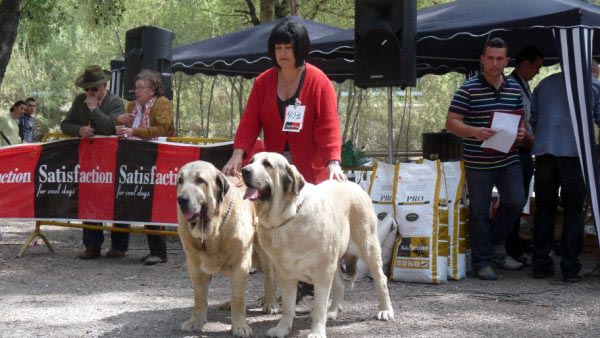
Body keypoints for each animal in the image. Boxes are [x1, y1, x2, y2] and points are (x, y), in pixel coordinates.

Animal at [176, 160, 278, 336]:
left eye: (200, 180)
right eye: (180, 181)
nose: (181, 199)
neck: (213, 230)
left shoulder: (240, 263)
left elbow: (239, 298)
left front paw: (240, 326)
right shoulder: (195, 266)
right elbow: (199, 297)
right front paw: (196, 321)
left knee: (269, 275)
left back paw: (270, 302)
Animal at [241, 153, 396, 338]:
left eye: (267, 164)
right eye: (251, 161)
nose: (244, 170)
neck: (288, 218)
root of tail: (354, 185)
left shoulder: (322, 273)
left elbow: (319, 308)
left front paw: (316, 332)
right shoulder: (286, 274)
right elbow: (288, 306)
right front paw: (282, 328)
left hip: (367, 247)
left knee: (381, 280)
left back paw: (386, 310)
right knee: (340, 284)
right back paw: (333, 311)